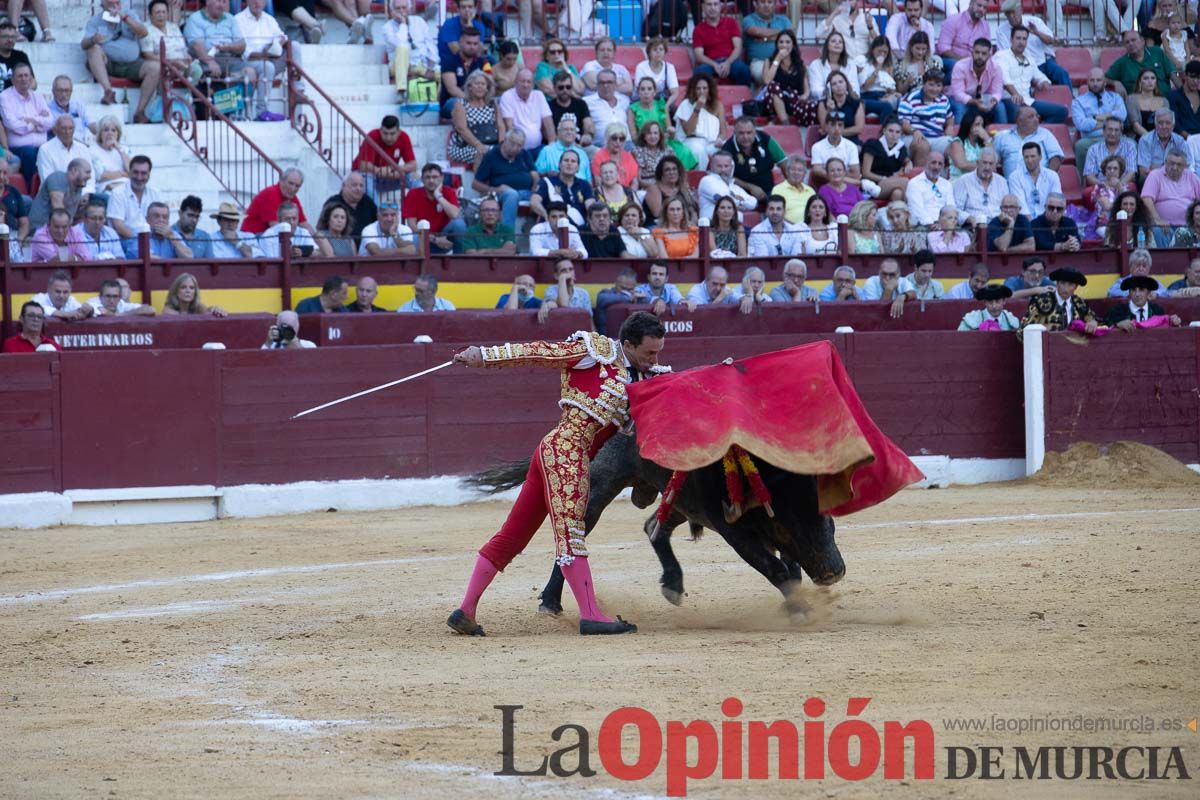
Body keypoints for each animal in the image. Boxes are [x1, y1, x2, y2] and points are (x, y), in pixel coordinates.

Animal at [463, 431, 849, 614]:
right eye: (790, 526)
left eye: (829, 523)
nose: (834, 571)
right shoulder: (733, 531)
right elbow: (775, 567)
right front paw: (800, 609)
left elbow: (789, 567)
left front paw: (795, 601)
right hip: (600, 487)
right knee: (575, 537)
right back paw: (550, 601)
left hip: (677, 498)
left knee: (653, 527)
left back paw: (673, 583)